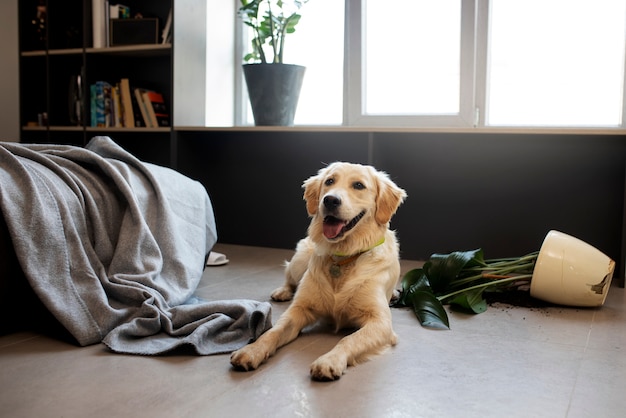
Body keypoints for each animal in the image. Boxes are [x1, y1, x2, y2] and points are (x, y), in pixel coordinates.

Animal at [229, 162, 404, 380]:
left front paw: (329, 360)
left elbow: (348, 339)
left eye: (358, 185)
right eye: (329, 181)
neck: (342, 257)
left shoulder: (380, 322)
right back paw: (282, 291)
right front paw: (252, 350)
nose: (330, 200)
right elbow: (273, 331)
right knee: (289, 277)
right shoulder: (299, 309)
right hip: (300, 259)